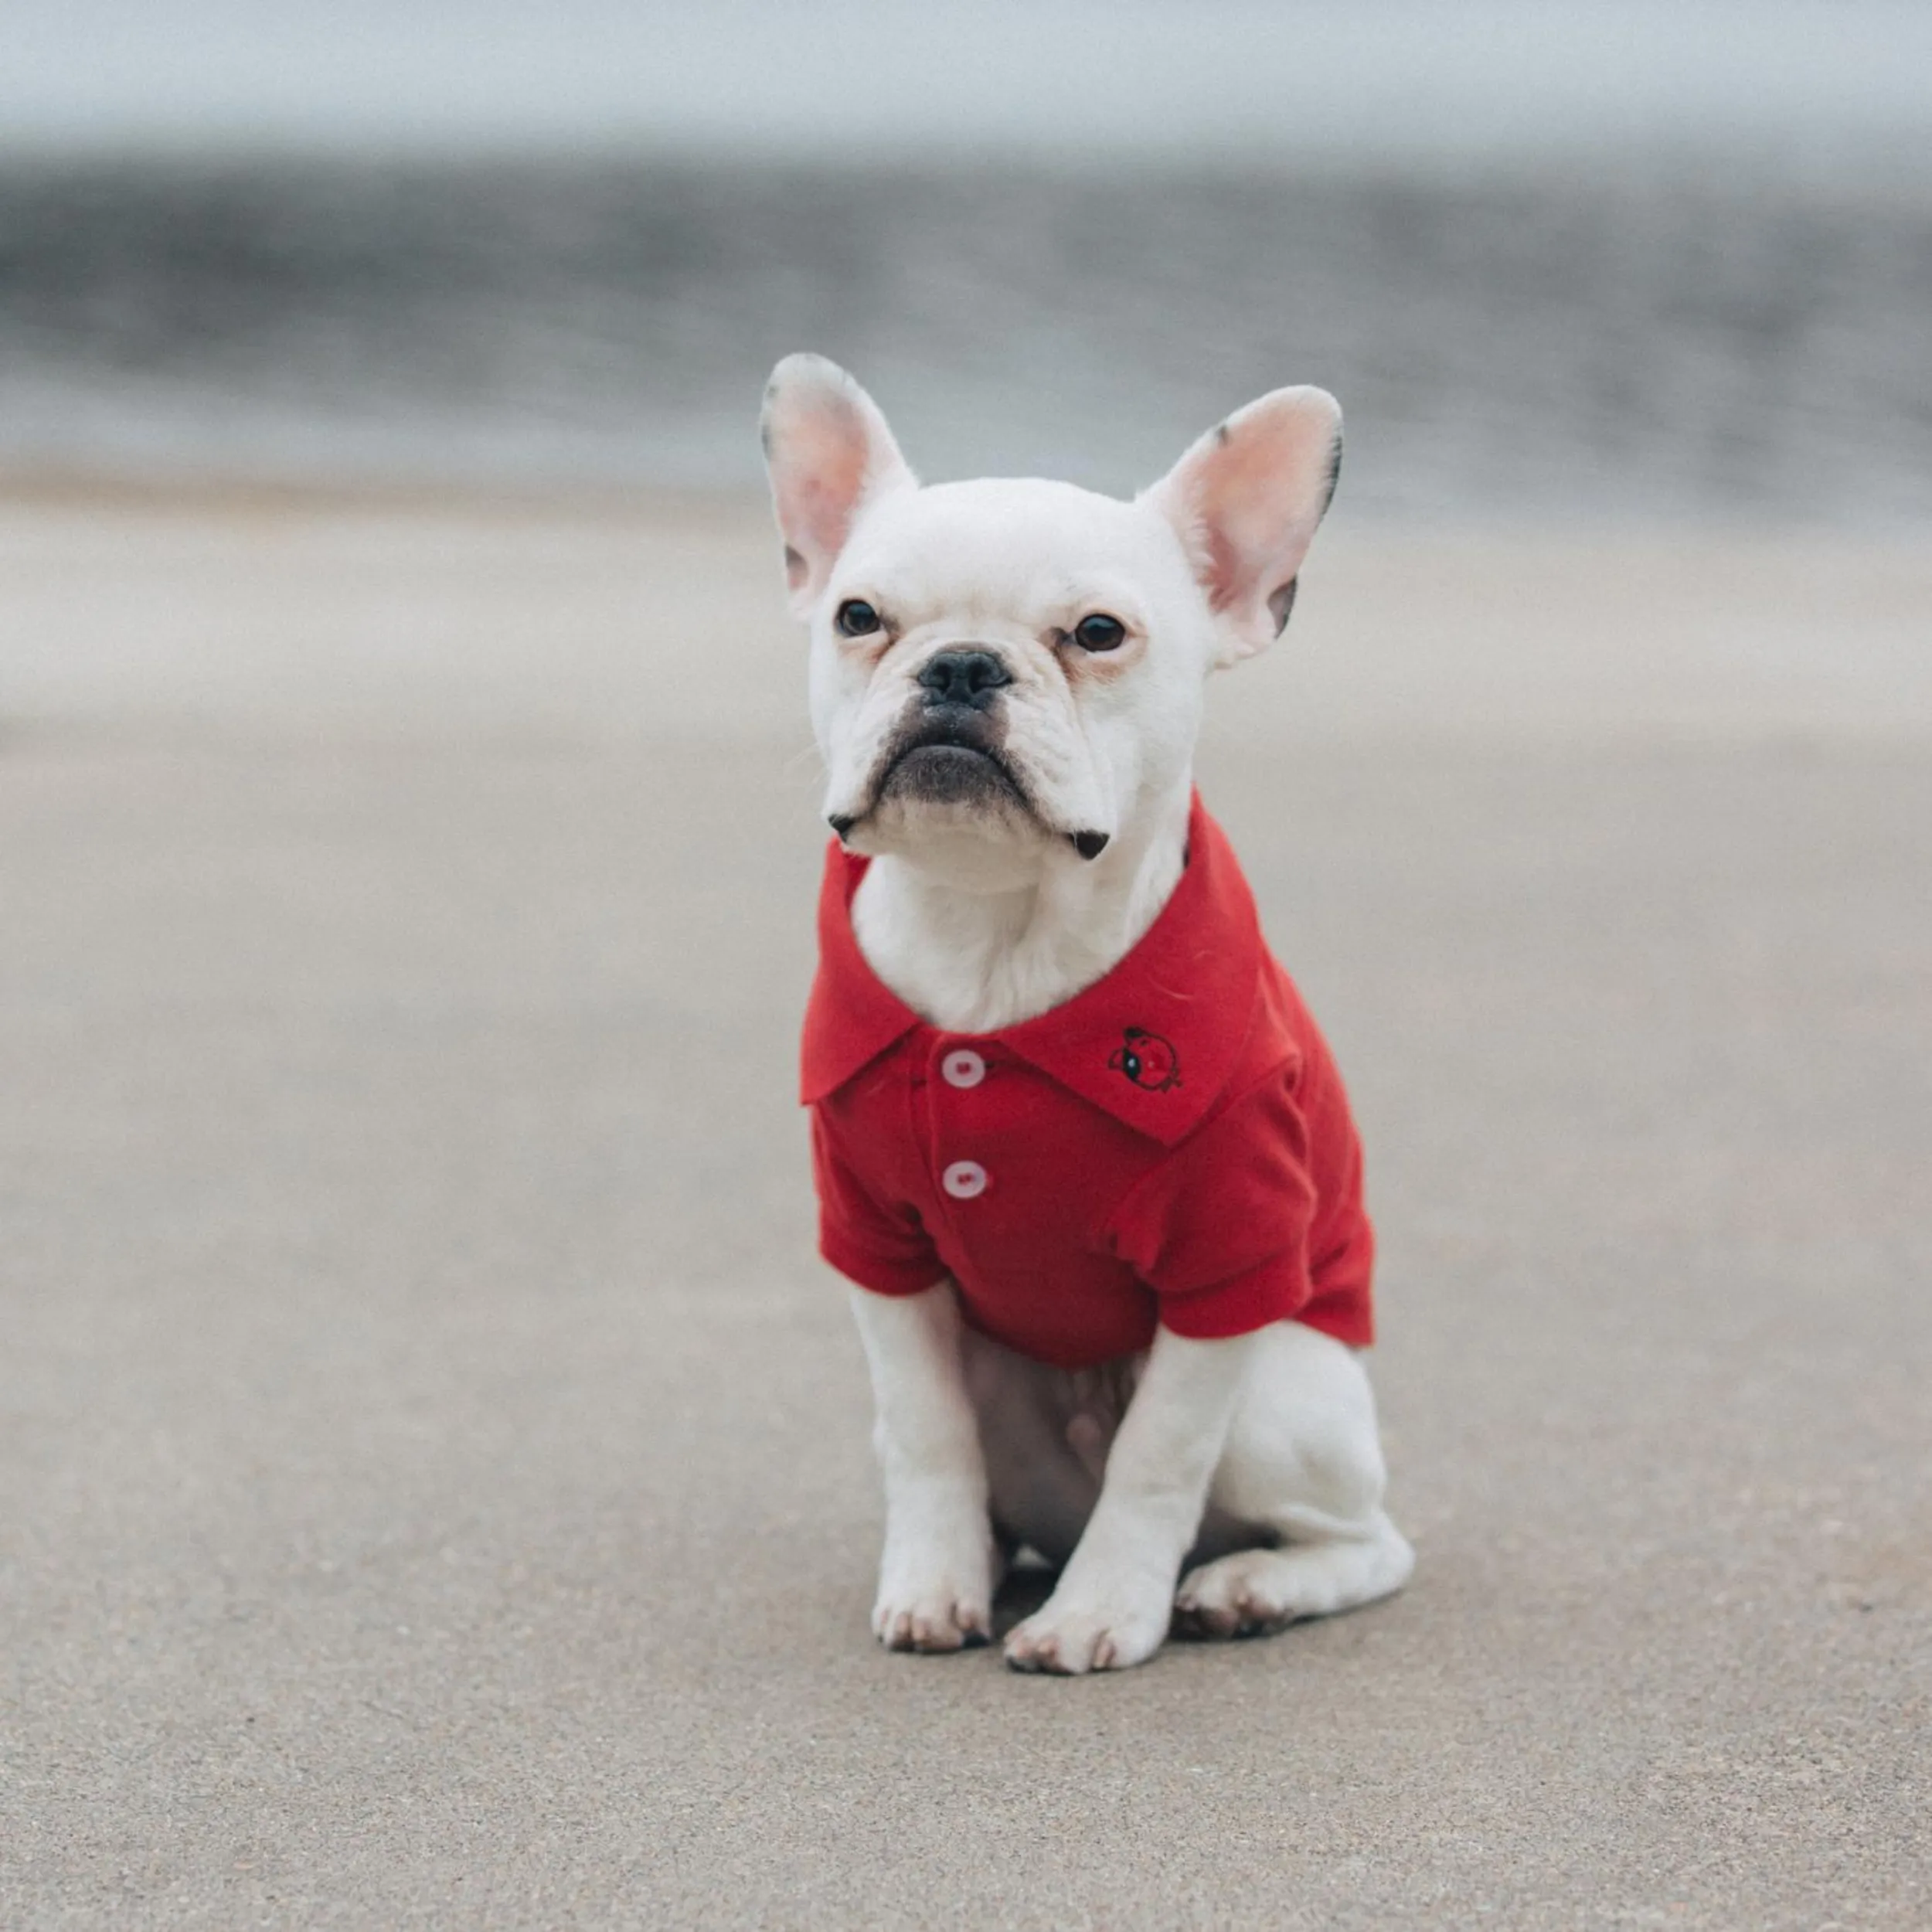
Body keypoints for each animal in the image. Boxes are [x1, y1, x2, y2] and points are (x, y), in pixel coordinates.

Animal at [761, 355, 1414, 1669]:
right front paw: (932, 1584)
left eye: (1099, 634)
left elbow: (1160, 1458)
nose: (962, 665)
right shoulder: (881, 1251)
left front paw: (1105, 1613)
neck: (996, 935)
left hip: (1284, 1393)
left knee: (1368, 1542)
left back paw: (1248, 1587)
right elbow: (925, 1433)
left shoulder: (1230, 1260)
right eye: (859, 617)